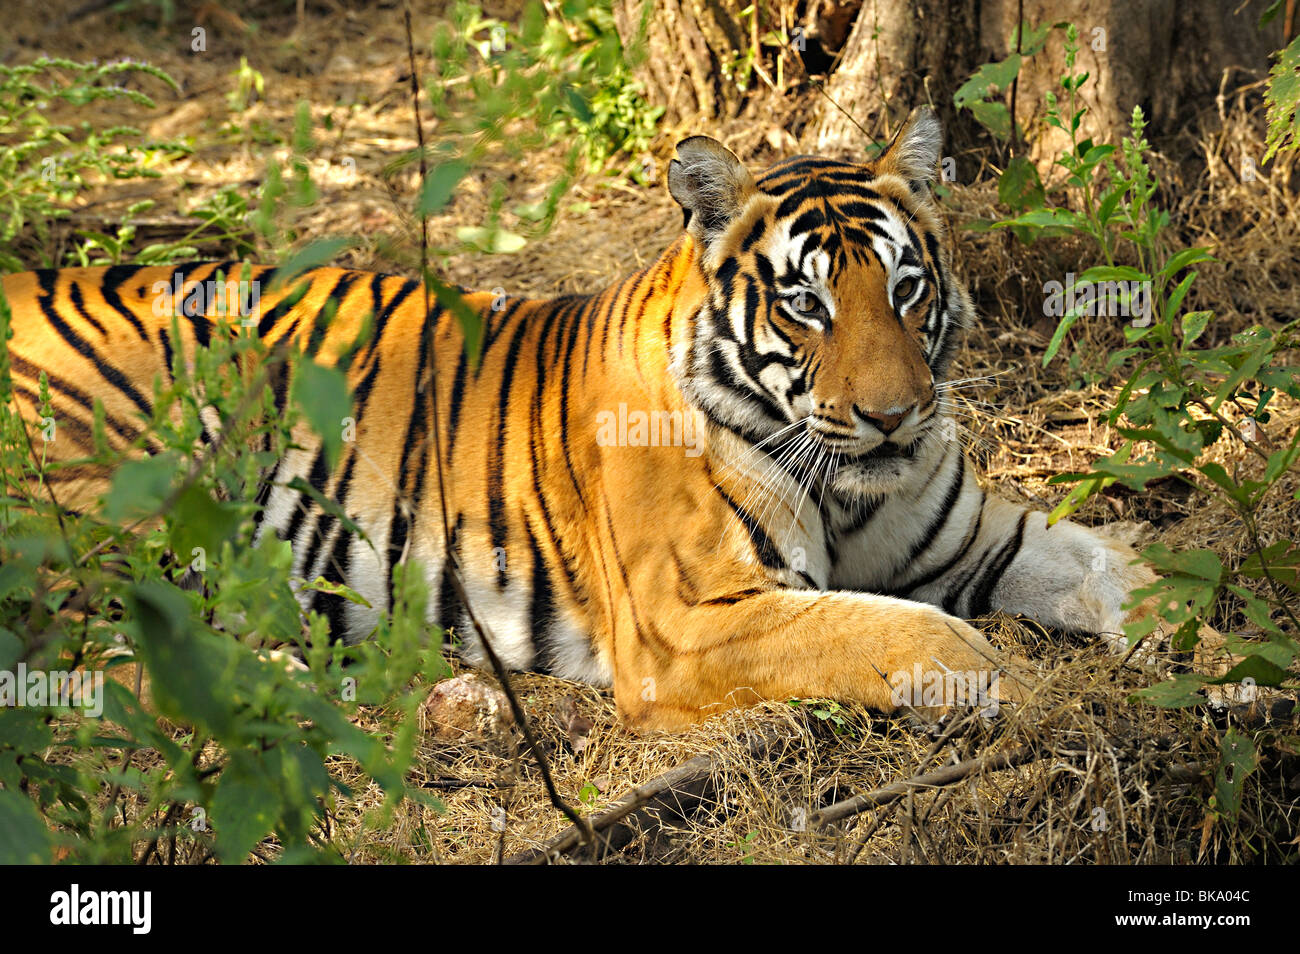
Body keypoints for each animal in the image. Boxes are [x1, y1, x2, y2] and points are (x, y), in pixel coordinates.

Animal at [2, 106, 1196, 733]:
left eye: (905, 290)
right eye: (806, 303)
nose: (895, 417)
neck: (852, 490)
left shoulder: (976, 536)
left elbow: (1120, 566)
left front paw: (1217, 662)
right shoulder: (691, 620)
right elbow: (905, 634)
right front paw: (1024, 688)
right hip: (111, 499)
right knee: (71, 659)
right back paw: (287, 688)